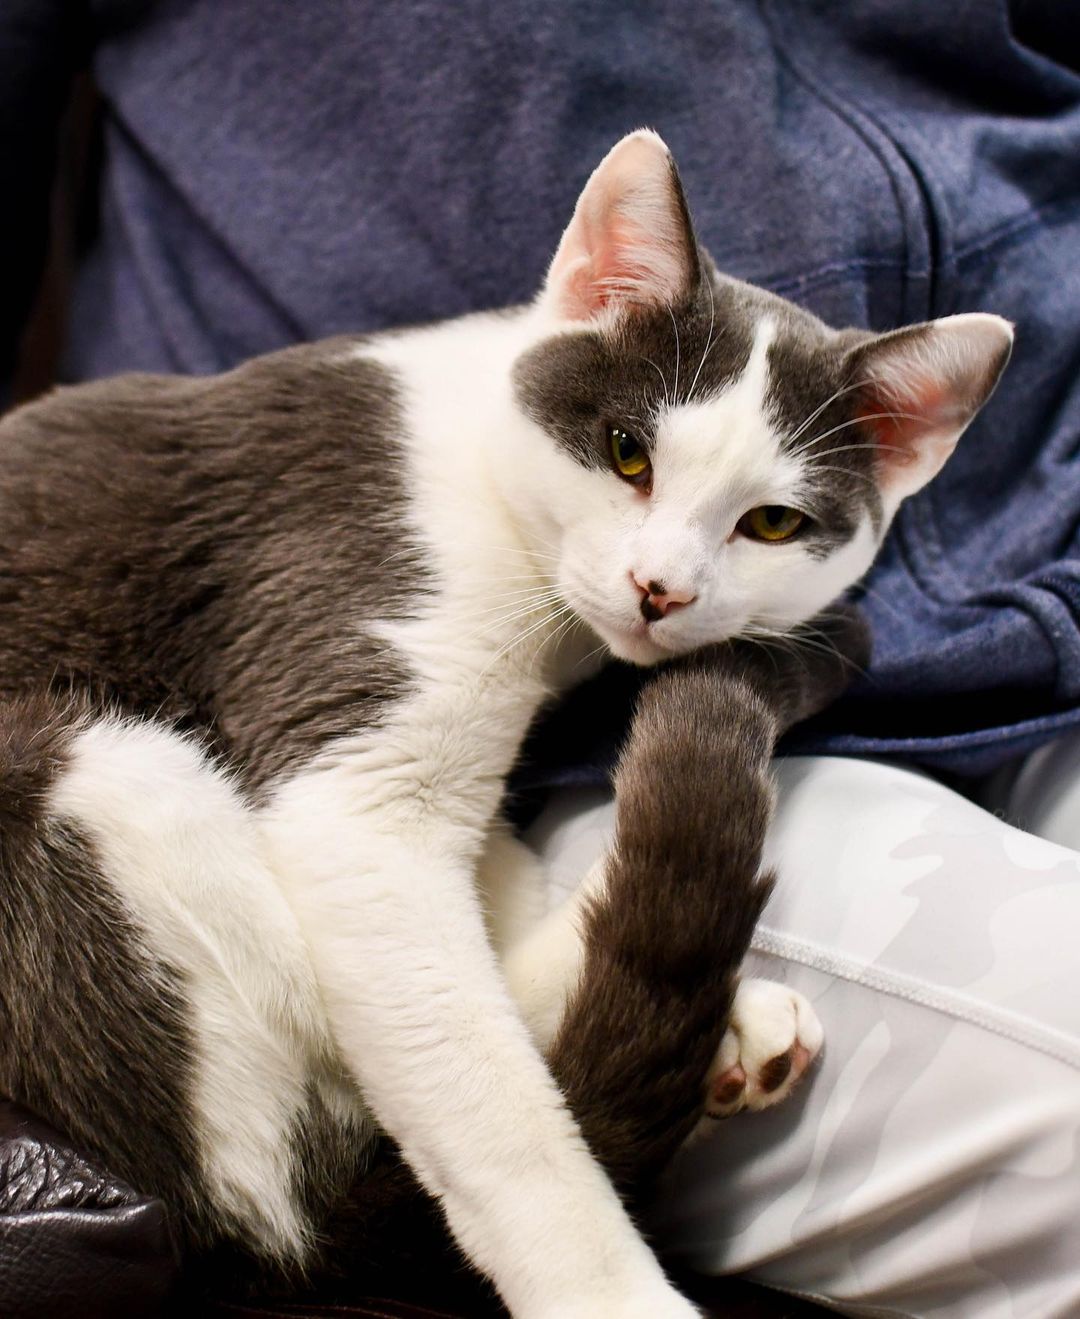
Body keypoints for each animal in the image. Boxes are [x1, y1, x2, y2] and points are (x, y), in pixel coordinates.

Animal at [0, 128, 1007, 1313]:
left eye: (771, 523)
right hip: (87, 769)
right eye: (627, 451)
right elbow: (475, 1085)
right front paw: (609, 1288)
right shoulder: (352, 679)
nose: (660, 589)